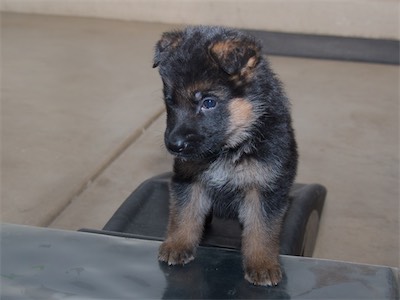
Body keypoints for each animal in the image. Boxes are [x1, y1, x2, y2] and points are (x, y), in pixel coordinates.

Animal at [152, 27, 296, 288]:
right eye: (170, 100)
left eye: (208, 102)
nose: (173, 145)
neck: (229, 148)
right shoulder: (188, 180)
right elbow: (184, 215)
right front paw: (178, 244)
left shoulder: (265, 189)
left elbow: (261, 230)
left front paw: (262, 264)